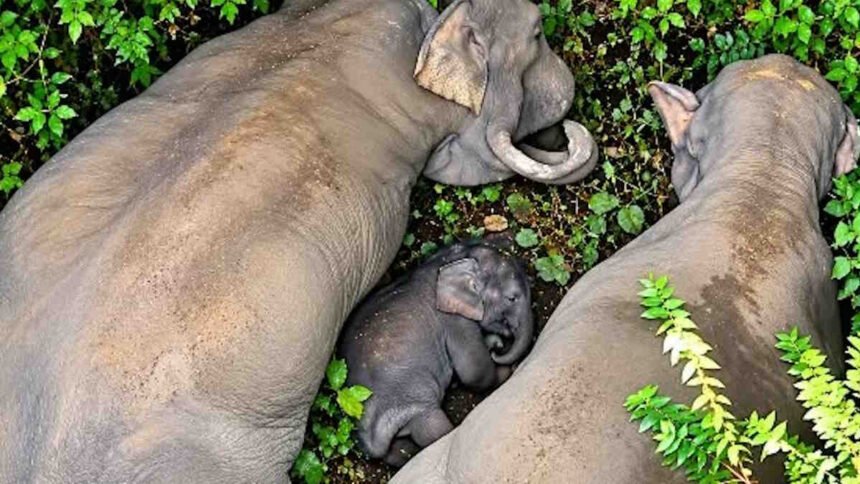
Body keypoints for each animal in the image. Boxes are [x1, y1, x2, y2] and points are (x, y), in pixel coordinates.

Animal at [339, 241, 533, 467]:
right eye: (512, 298)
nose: (499, 347)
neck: (449, 261)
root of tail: (370, 438)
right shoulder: (454, 320)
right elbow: (473, 371)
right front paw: (505, 370)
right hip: (412, 404)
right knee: (435, 431)